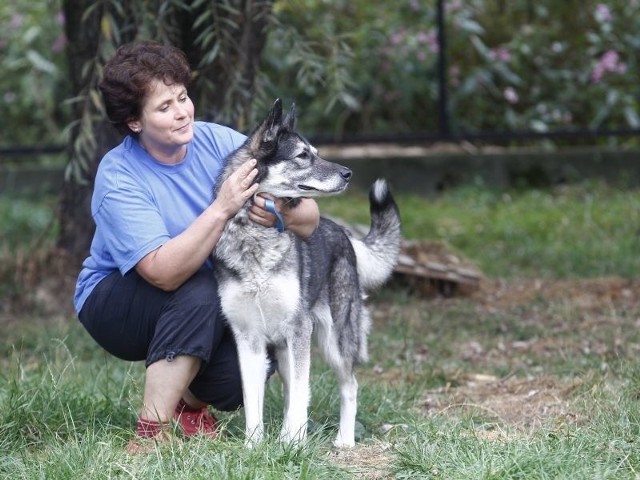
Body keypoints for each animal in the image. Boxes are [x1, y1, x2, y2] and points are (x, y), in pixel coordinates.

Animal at [215, 97, 402, 446]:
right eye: (303, 155)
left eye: (315, 151)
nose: (348, 173)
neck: (255, 239)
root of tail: (343, 233)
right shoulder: (248, 339)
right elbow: (252, 401)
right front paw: (254, 446)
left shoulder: (299, 330)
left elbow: (303, 394)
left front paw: (293, 444)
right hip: (285, 351)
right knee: (292, 391)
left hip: (334, 342)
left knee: (349, 386)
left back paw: (344, 440)